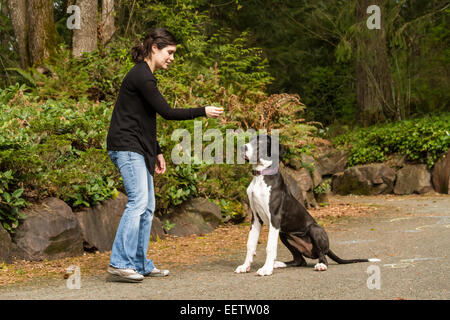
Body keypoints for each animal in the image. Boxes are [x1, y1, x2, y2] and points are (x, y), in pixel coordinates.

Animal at [236, 134, 380, 276]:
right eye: (250, 139)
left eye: (260, 142)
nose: (242, 148)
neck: (260, 177)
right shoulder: (256, 218)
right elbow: (250, 244)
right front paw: (245, 266)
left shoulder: (275, 218)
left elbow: (270, 246)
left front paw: (266, 269)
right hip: (284, 234)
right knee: (300, 260)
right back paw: (278, 264)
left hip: (313, 229)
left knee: (322, 256)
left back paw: (321, 265)